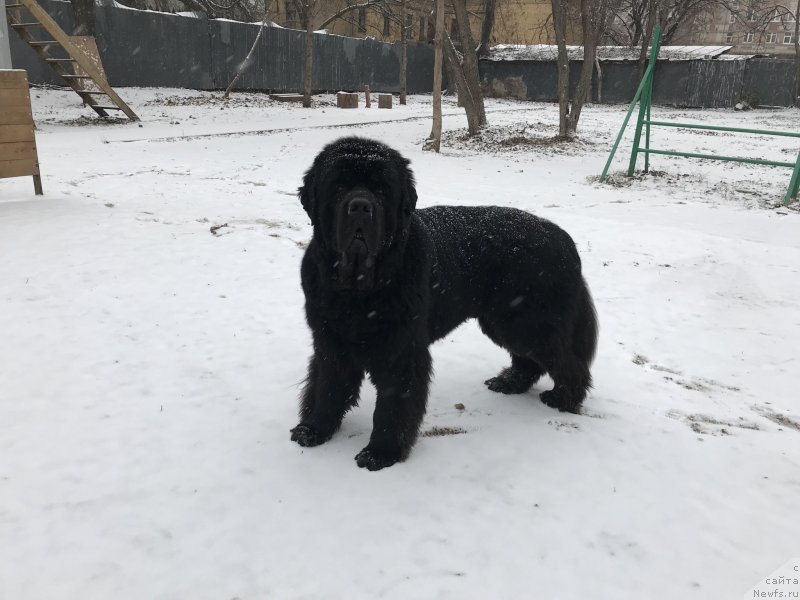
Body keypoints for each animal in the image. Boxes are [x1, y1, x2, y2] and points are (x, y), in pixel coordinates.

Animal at [290, 138, 596, 472]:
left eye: (381, 189)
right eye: (339, 186)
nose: (360, 206)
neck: (359, 289)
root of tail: (563, 238)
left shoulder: (402, 351)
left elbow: (392, 405)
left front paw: (380, 453)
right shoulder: (330, 341)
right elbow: (327, 388)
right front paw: (314, 429)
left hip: (526, 322)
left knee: (567, 362)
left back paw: (563, 399)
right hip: (503, 321)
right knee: (530, 360)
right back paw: (509, 383)